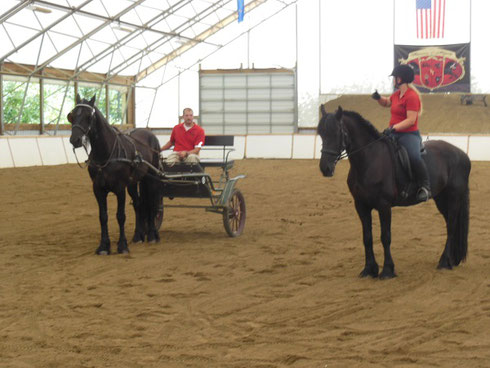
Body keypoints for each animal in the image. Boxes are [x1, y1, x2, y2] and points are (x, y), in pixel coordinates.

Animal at [68, 93, 161, 254]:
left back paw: (152, 235)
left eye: (88, 116)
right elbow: (103, 216)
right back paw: (138, 236)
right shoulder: (98, 189)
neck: (106, 154)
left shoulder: (119, 188)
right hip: (134, 182)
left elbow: (120, 216)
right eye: (72, 116)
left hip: (151, 178)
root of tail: (150, 133)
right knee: (139, 203)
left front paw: (122, 245)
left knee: (152, 203)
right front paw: (103, 246)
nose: (75, 140)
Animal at [318, 105, 470, 278]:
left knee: (451, 226)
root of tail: (462, 154)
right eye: (321, 133)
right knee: (451, 225)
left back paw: (444, 262)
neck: (369, 159)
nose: (325, 168)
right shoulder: (361, 205)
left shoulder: (384, 205)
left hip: (453, 198)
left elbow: (385, 237)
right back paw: (451, 260)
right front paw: (369, 269)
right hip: (441, 199)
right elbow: (367, 237)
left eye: (337, 132)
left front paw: (387, 270)